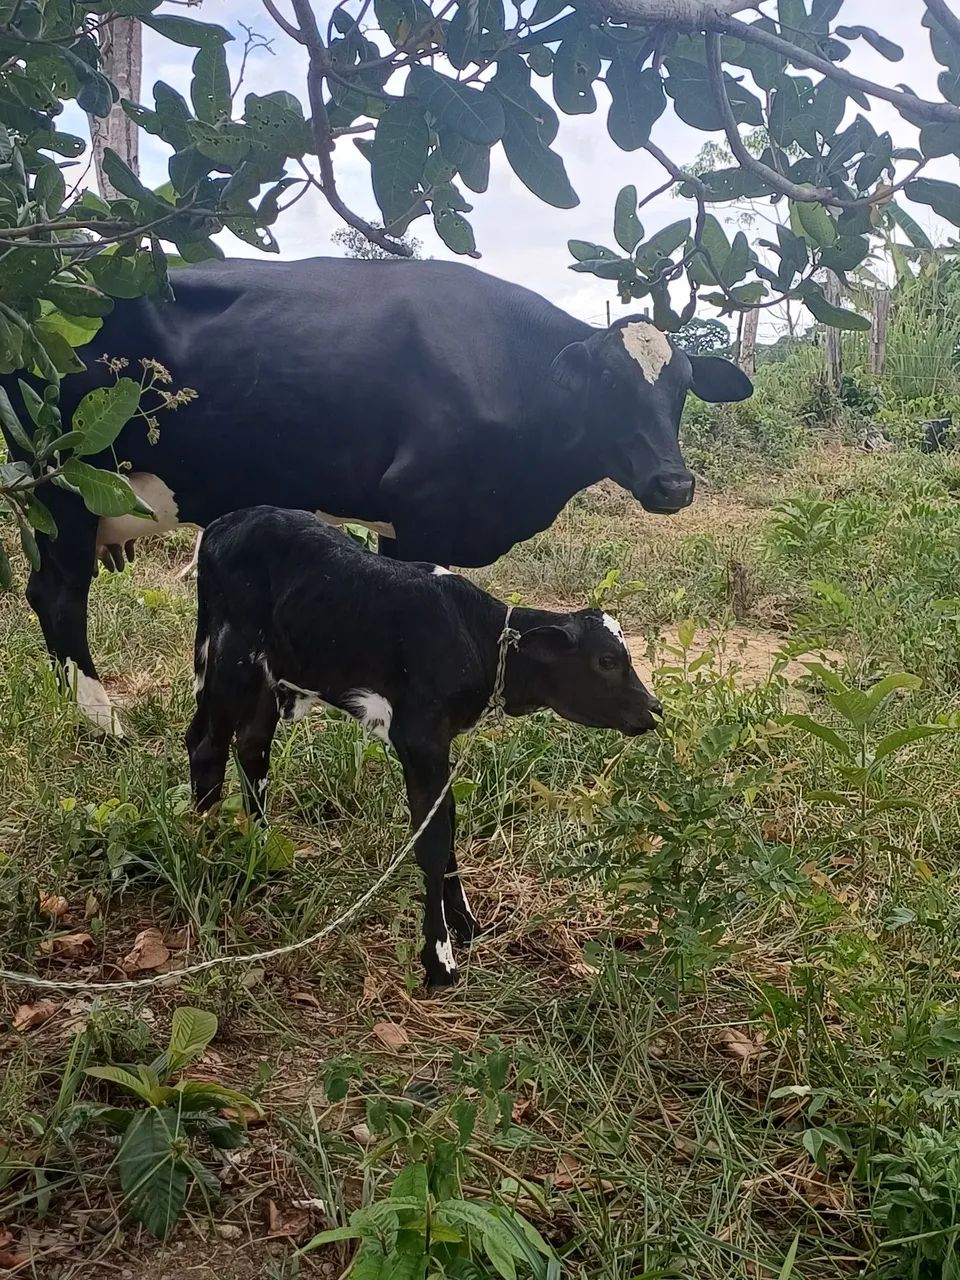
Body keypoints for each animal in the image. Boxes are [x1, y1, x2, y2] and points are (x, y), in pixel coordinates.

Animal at [1, 257, 753, 734]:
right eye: (609, 384)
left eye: (682, 386)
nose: (673, 483)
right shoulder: (422, 508)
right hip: (59, 479)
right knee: (57, 596)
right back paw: (104, 721)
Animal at [188, 505, 662, 987]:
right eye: (607, 661)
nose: (655, 709)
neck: (475, 636)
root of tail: (227, 523)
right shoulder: (418, 739)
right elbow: (432, 840)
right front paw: (440, 958)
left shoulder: (440, 747)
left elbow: (447, 821)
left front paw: (466, 924)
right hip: (232, 663)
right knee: (207, 747)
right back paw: (205, 855)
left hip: (266, 680)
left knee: (251, 748)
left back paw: (260, 853)